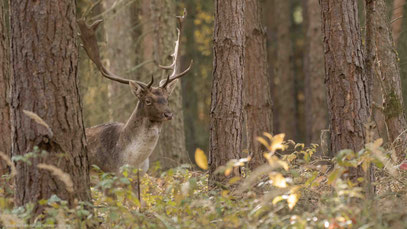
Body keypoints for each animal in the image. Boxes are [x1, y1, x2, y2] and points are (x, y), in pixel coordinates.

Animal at [77, 9, 193, 177]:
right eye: (148, 100)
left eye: (167, 98)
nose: (168, 114)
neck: (131, 161)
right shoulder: (109, 174)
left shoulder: (142, 174)